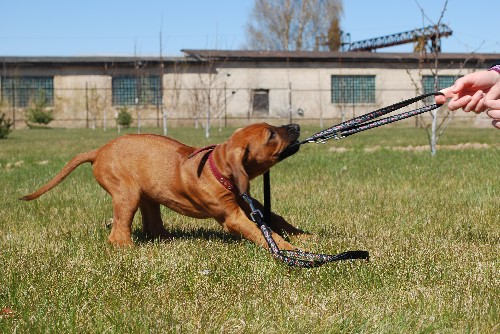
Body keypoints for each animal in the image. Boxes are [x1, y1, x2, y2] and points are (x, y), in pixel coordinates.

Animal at [22, 123, 304, 250]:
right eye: (271, 135)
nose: (296, 125)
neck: (216, 168)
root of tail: (99, 151)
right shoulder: (232, 216)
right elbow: (261, 232)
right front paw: (290, 250)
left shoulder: (246, 203)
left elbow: (274, 219)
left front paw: (302, 235)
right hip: (126, 193)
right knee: (118, 231)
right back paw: (130, 250)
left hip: (147, 195)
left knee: (153, 225)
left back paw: (168, 241)